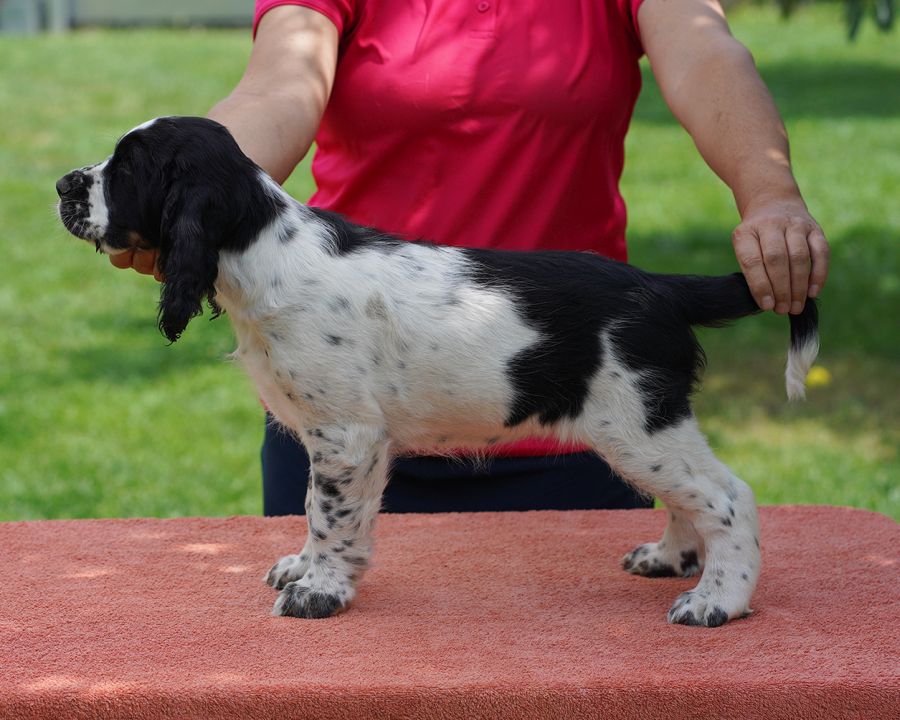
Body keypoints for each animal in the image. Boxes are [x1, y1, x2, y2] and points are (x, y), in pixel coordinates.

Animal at [52, 115, 820, 628]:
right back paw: (672, 559)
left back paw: (718, 599)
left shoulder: (347, 435)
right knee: (693, 497)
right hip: (649, 428)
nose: (62, 184)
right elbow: (309, 506)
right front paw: (302, 567)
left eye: (127, 169)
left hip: (636, 421)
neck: (264, 251)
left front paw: (319, 591)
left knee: (728, 496)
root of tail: (661, 287)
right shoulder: (328, 436)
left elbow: (331, 515)